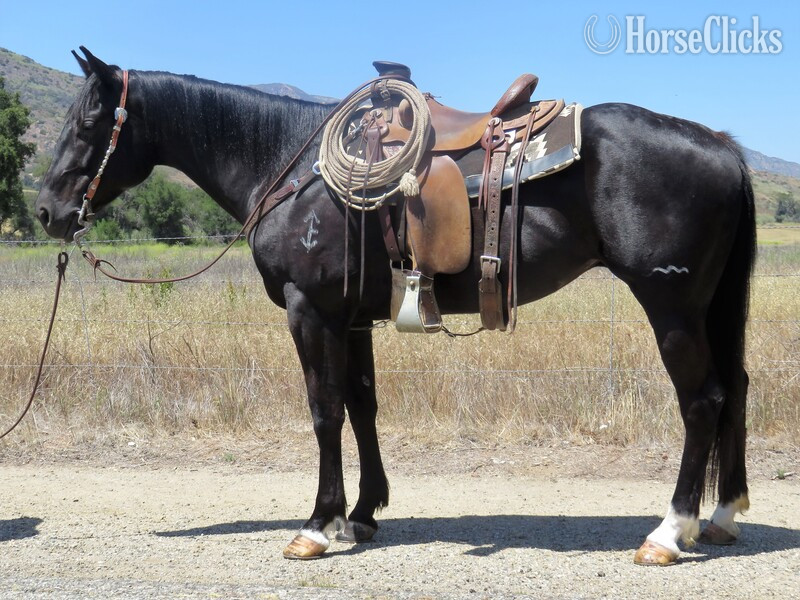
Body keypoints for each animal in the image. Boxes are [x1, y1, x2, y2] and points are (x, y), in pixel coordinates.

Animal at [35, 48, 755, 565]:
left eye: (89, 122)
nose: (46, 211)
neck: (289, 166)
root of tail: (722, 144)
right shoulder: (351, 317)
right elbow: (362, 404)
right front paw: (362, 514)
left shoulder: (309, 311)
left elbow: (324, 410)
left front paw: (316, 525)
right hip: (713, 307)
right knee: (736, 389)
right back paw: (721, 516)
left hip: (671, 307)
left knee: (702, 401)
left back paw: (669, 532)